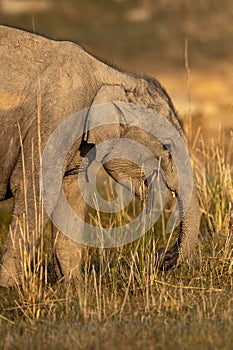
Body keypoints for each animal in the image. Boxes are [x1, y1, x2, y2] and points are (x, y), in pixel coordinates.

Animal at [0, 25, 200, 288]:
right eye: (166, 146)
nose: (161, 257)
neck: (111, 75)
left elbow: (71, 194)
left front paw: (74, 286)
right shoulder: (54, 119)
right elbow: (37, 188)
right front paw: (9, 288)